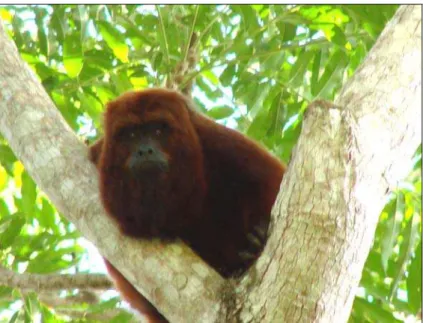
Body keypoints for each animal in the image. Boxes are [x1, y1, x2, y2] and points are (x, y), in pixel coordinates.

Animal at [90, 88, 288, 322]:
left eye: (158, 130)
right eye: (130, 135)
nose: (144, 151)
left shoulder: (219, 140)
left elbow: (273, 181)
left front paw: (259, 236)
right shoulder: (97, 156)